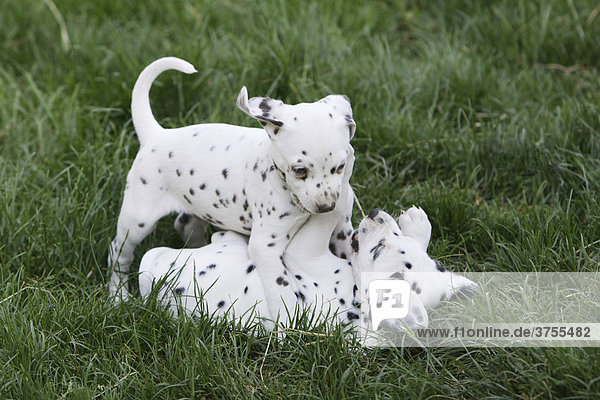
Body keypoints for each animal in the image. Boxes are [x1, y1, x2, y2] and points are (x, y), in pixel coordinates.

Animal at [109, 56, 356, 324]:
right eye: (300, 170)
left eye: (340, 167)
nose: (326, 206)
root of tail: (156, 134)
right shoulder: (266, 247)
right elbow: (280, 288)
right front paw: (288, 322)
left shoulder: (341, 229)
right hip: (138, 219)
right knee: (118, 253)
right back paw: (118, 295)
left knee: (184, 224)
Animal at [137, 205, 478, 332]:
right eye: (386, 243)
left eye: (378, 249)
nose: (375, 213)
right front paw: (417, 225)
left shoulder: (305, 250)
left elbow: (325, 219)